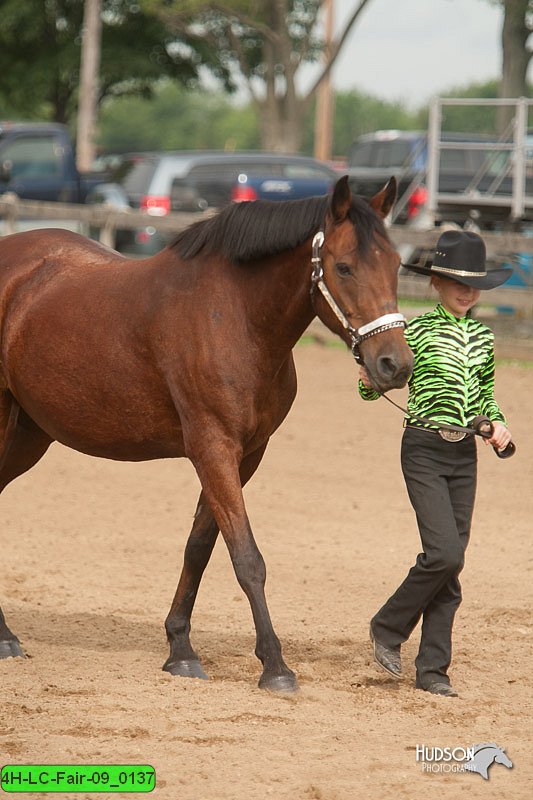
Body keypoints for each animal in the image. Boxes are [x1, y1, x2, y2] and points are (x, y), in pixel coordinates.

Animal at [0, 178, 412, 692]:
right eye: (343, 266)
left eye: (396, 265)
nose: (394, 365)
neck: (233, 316)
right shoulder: (211, 448)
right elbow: (247, 558)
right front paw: (275, 666)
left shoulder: (245, 455)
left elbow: (200, 547)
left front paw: (180, 649)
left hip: (29, 434)